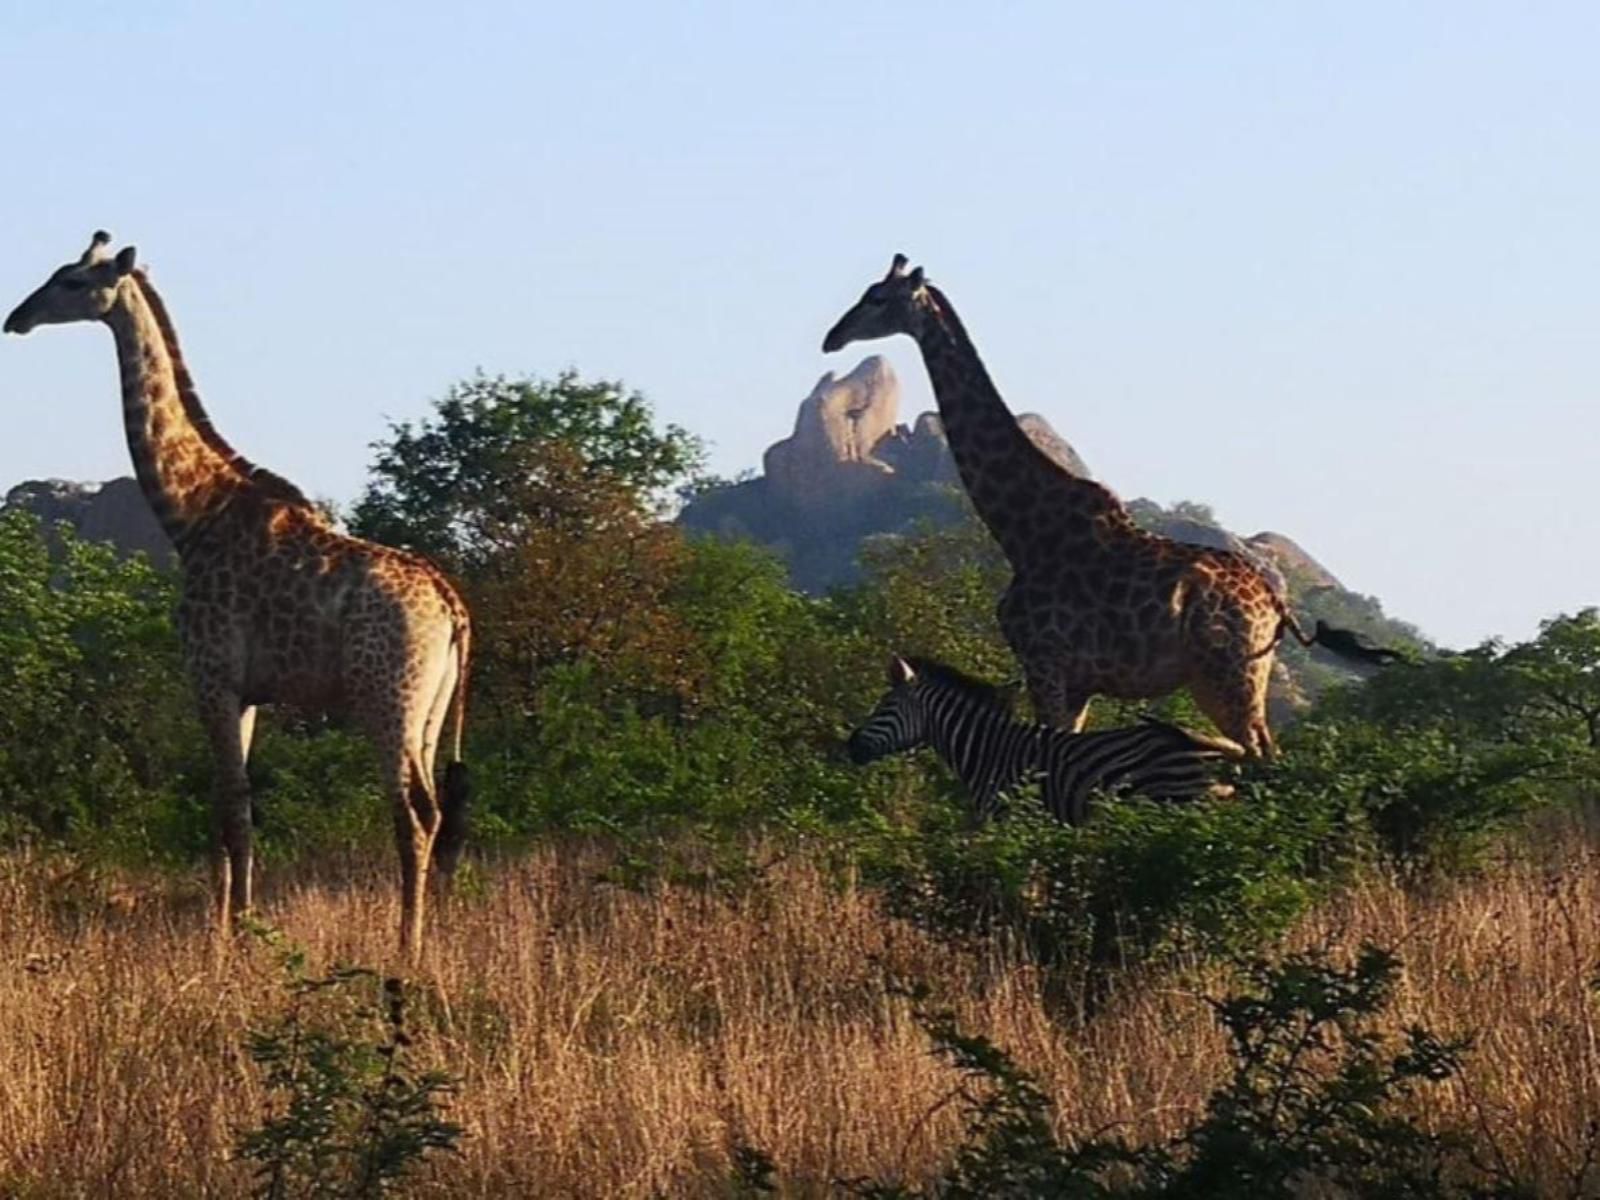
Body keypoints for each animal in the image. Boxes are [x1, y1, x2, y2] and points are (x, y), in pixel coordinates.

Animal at [6, 236, 470, 966]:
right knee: (437, 810)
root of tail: (453, 607)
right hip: (431, 709)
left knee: (415, 812)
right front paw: (226, 925)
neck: (192, 514)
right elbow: (229, 809)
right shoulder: (248, 693)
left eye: (73, 281)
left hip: (386, 697)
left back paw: (406, 950)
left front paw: (241, 935)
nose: (15, 318)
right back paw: (429, 937)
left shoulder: (212, 675)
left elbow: (234, 809)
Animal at [825, 257, 1376, 755]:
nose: (832, 337)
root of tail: (1277, 605)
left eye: (878, 298)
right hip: (1231, 677)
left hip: (1231, 675)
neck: (1021, 534)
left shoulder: (1045, 662)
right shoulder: (1077, 683)